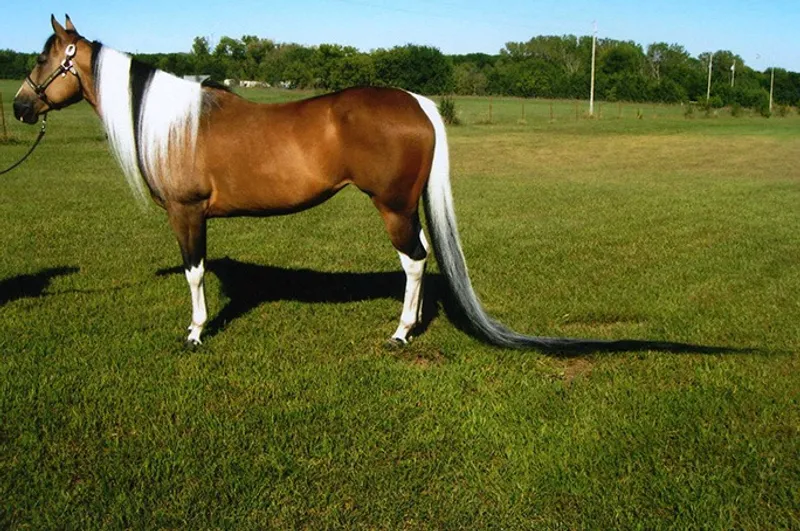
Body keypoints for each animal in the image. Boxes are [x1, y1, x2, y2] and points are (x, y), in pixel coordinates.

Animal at [13, 15, 629, 351]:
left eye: (45, 58)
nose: (20, 106)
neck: (175, 122)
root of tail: (417, 101)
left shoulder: (186, 213)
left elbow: (194, 274)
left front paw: (194, 332)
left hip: (393, 208)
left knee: (414, 261)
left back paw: (400, 333)